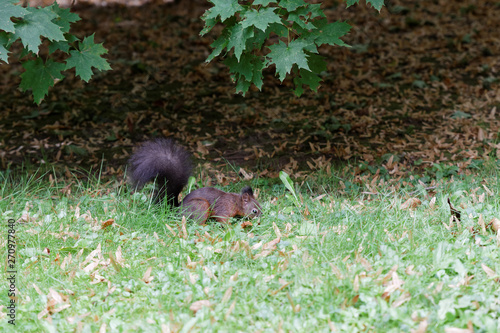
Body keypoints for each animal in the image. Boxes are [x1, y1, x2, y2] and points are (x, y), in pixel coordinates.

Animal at [127, 137, 262, 223]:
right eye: (254, 211)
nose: (261, 217)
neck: (236, 202)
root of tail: (176, 211)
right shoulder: (223, 209)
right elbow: (222, 218)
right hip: (201, 206)